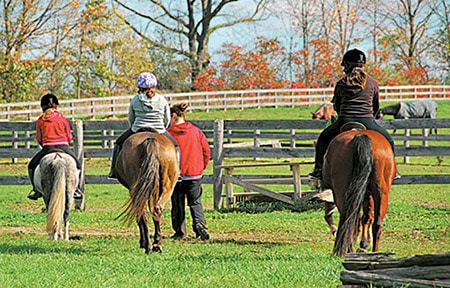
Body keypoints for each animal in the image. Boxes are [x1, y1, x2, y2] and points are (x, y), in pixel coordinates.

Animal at [322, 128, 396, 256]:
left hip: (342, 192)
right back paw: (374, 252)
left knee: (348, 218)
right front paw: (364, 245)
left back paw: (347, 249)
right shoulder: (368, 195)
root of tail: (361, 135)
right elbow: (366, 218)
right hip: (381, 193)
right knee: (377, 224)